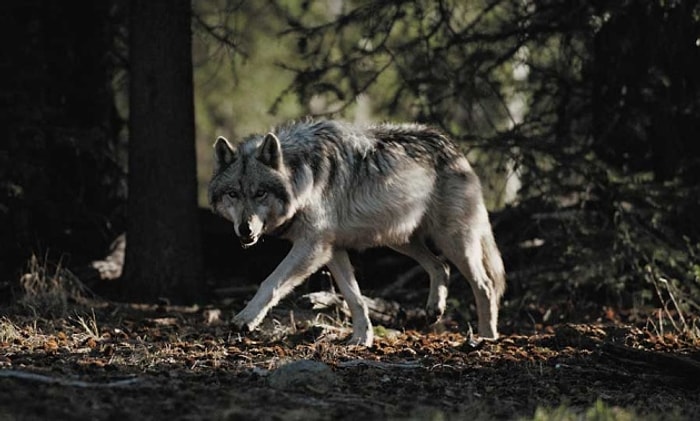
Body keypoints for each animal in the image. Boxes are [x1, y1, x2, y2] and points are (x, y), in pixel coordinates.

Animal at [206, 118, 504, 344]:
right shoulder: (332, 250)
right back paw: (434, 310)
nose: (244, 229)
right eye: (233, 194)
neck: (303, 177)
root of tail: (451, 144)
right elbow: (354, 298)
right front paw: (362, 339)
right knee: (441, 266)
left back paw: (487, 337)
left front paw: (245, 319)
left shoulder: (312, 247)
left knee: (485, 285)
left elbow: (271, 282)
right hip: (399, 240)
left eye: (260, 193)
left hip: (453, 241)